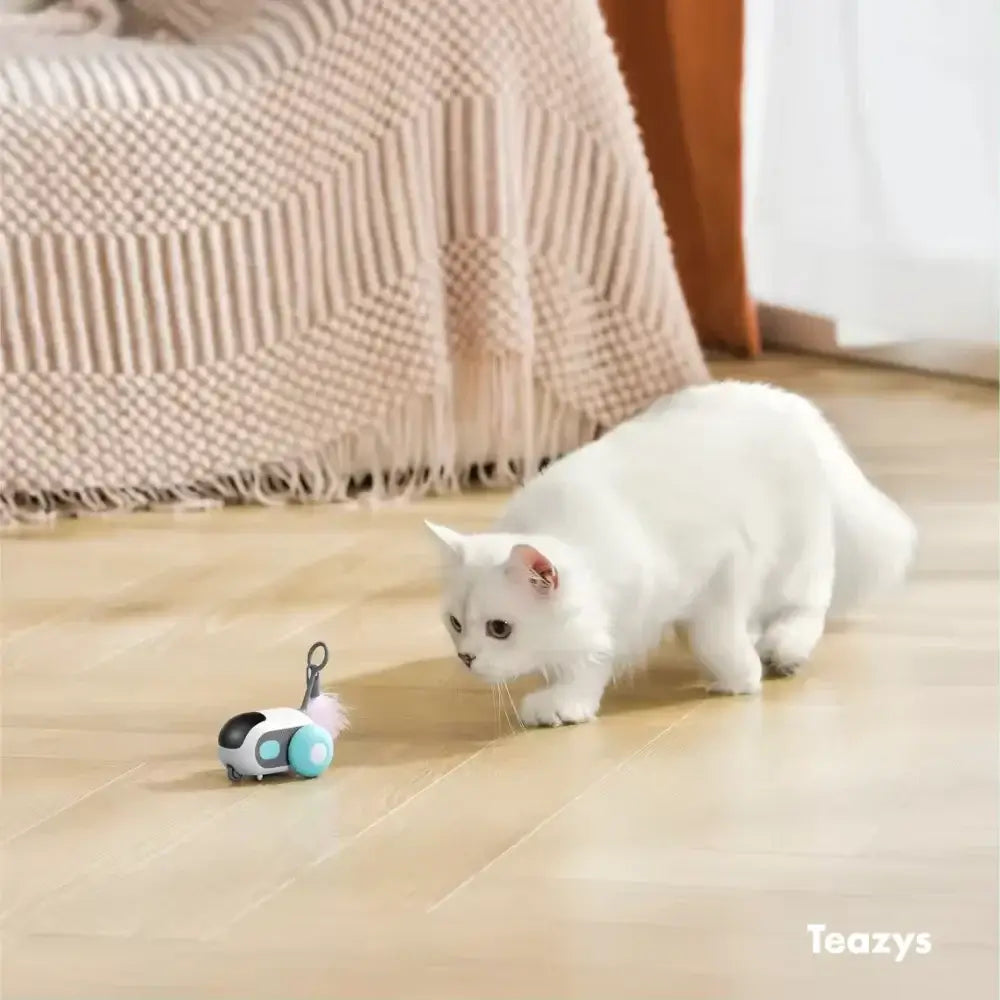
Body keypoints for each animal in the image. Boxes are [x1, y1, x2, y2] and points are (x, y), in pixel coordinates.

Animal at [426, 382, 916, 728]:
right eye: (455, 624)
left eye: (499, 629)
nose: (465, 657)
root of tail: (791, 403)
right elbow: (588, 665)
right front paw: (567, 705)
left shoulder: (724, 567)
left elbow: (714, 639)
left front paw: (740, 680)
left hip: (794, 555)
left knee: (808, 605)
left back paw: (783, 651)